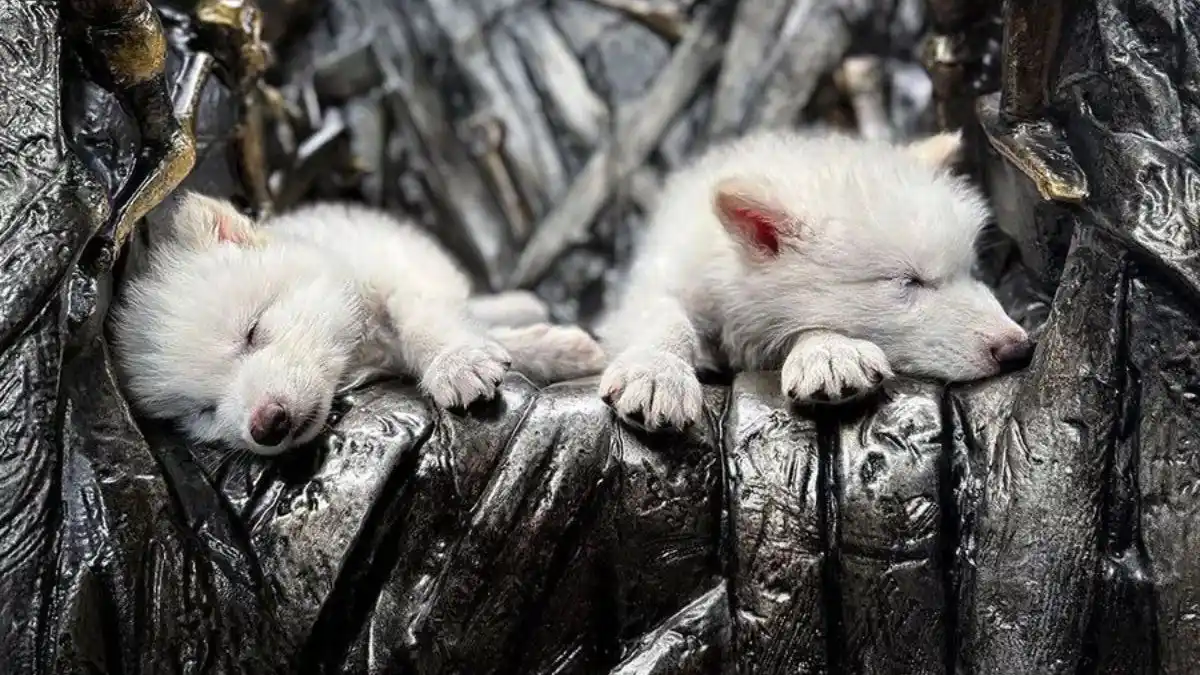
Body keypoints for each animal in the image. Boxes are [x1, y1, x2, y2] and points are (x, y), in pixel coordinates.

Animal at [110, 193, 605, 455]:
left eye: (252, 332)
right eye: (204, 411)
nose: (266, 425)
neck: (357, 350)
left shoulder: (400, 273)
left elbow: (424, 320)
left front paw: (456, 362)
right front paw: (551, 351)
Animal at [597, 129, 1032, 431]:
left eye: (970, 271)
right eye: (908, 281)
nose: (1020, 349)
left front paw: (828, 351)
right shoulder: (661, 278)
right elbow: (664, 316)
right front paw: (656, 371)